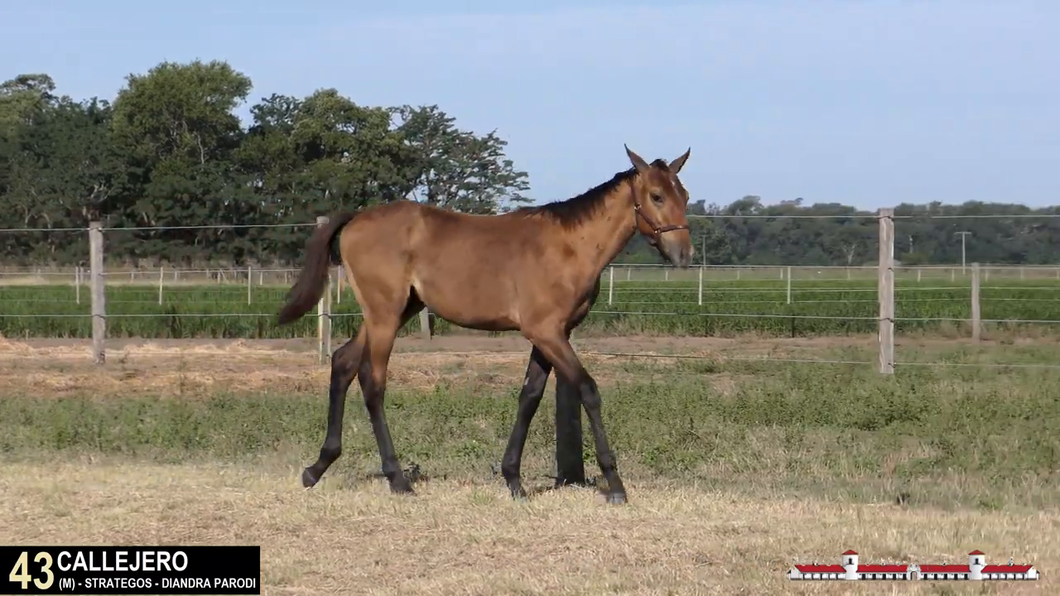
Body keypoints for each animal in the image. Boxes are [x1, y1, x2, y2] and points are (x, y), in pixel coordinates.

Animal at [277, 144, 691, 500]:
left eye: (684, 196)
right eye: (657, 196)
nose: (683, 254)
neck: (569, 246)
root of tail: (356, 218)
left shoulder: (550, 335)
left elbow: (529, 397)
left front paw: (513, 480)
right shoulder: (547, 332)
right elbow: (587, 390)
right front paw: (615, 483)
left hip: (397, 311)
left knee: (343, 362)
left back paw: (317, 467)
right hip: (385, 315)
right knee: (372, 381)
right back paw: (397, 479)